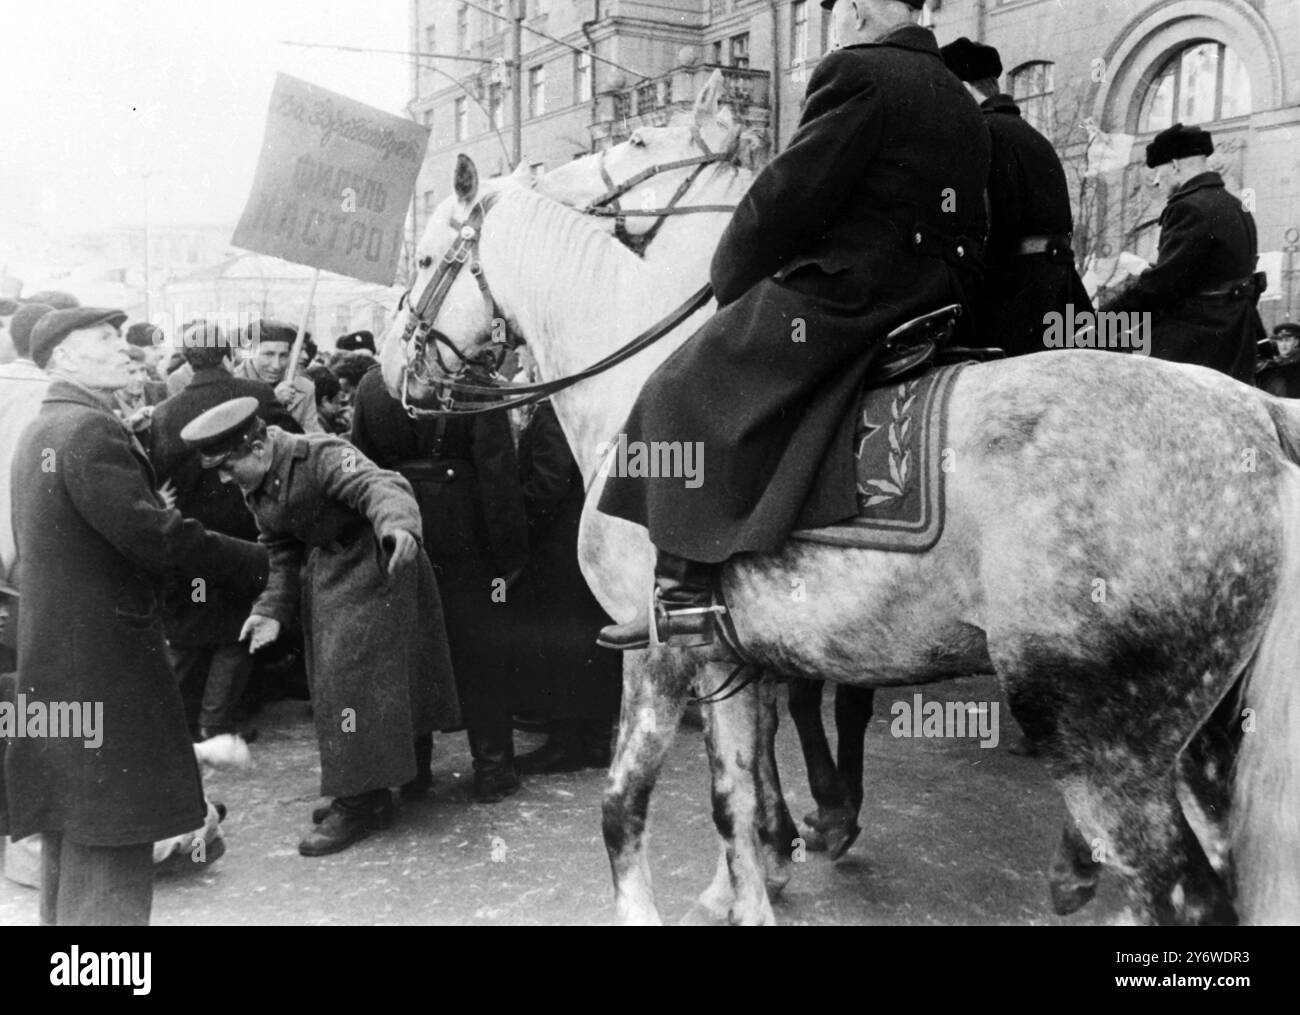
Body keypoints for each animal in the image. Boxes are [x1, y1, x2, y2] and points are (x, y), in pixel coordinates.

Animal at [379, 115, 1300, 920]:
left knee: (1185, 893)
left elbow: (624, 806)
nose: (390, 370)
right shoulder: (726, 653)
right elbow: (733, 795)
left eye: (424, 257)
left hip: (1109, 745)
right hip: (1203, 735)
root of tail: (1257, 414)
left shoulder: (656, 649)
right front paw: (749, 889)